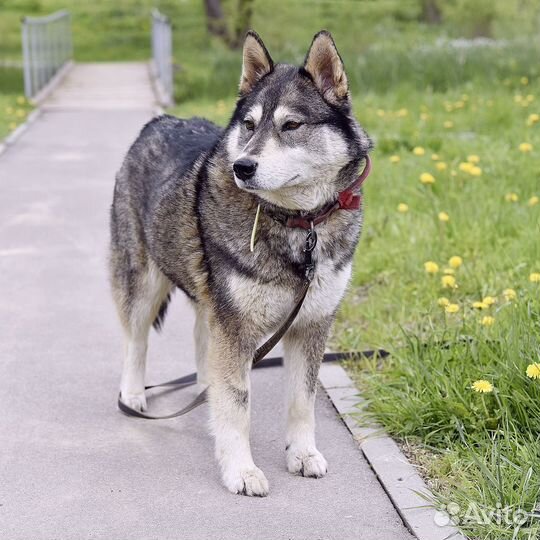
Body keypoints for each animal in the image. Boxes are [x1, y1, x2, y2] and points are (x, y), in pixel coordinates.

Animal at [109, 28, 372, 494]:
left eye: (291, 126)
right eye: (249, 125)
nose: (242, 166)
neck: (298, 224)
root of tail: (159, 121)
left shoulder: (309, 326)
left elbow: (301, 401)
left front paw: (302, 454)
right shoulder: (236, 328)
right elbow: (237, 404)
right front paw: (241, 470)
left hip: (209, 301)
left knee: (201, 340)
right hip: (143, 284)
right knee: (136, 342)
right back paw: (135, 396)